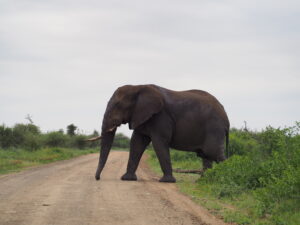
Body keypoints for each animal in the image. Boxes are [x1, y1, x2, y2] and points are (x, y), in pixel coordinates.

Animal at [94, 84, 230, 183]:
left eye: (118, 105)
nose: (98, 178)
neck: (138, 87)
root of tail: (225, 115)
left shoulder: (160, 117)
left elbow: (159, 143)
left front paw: (167, 181)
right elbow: (137, 143)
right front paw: (127, 179)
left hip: (214, 128)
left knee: (213, 153)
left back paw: (221, 179)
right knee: (206, 155)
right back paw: (203, 181)